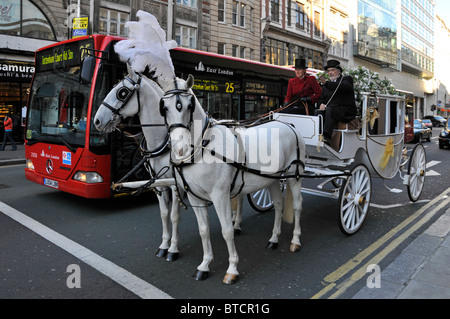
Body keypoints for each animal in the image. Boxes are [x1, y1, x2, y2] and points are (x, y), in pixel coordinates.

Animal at [94, 65, 184, 262]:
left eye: (122, 92)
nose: (97, 121)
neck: (163, 142)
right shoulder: (159, 184)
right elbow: (164, 214)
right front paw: (163, 246)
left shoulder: (174, 184)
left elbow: (174, 216)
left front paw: (173, 249)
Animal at [159, 75, 306, 284]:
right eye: (164, 107)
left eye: (189, 105)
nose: (180, 148)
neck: (204, 147)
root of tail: (289, 125)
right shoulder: (195, 197)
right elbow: (203, 230)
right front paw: (205, 265)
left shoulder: (220, 196)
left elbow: (227, 231)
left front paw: (232, 269)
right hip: (271, 179)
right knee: (278, 205)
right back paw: (274, 239)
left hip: (294, 177)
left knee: (297, 206)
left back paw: (295, 240)